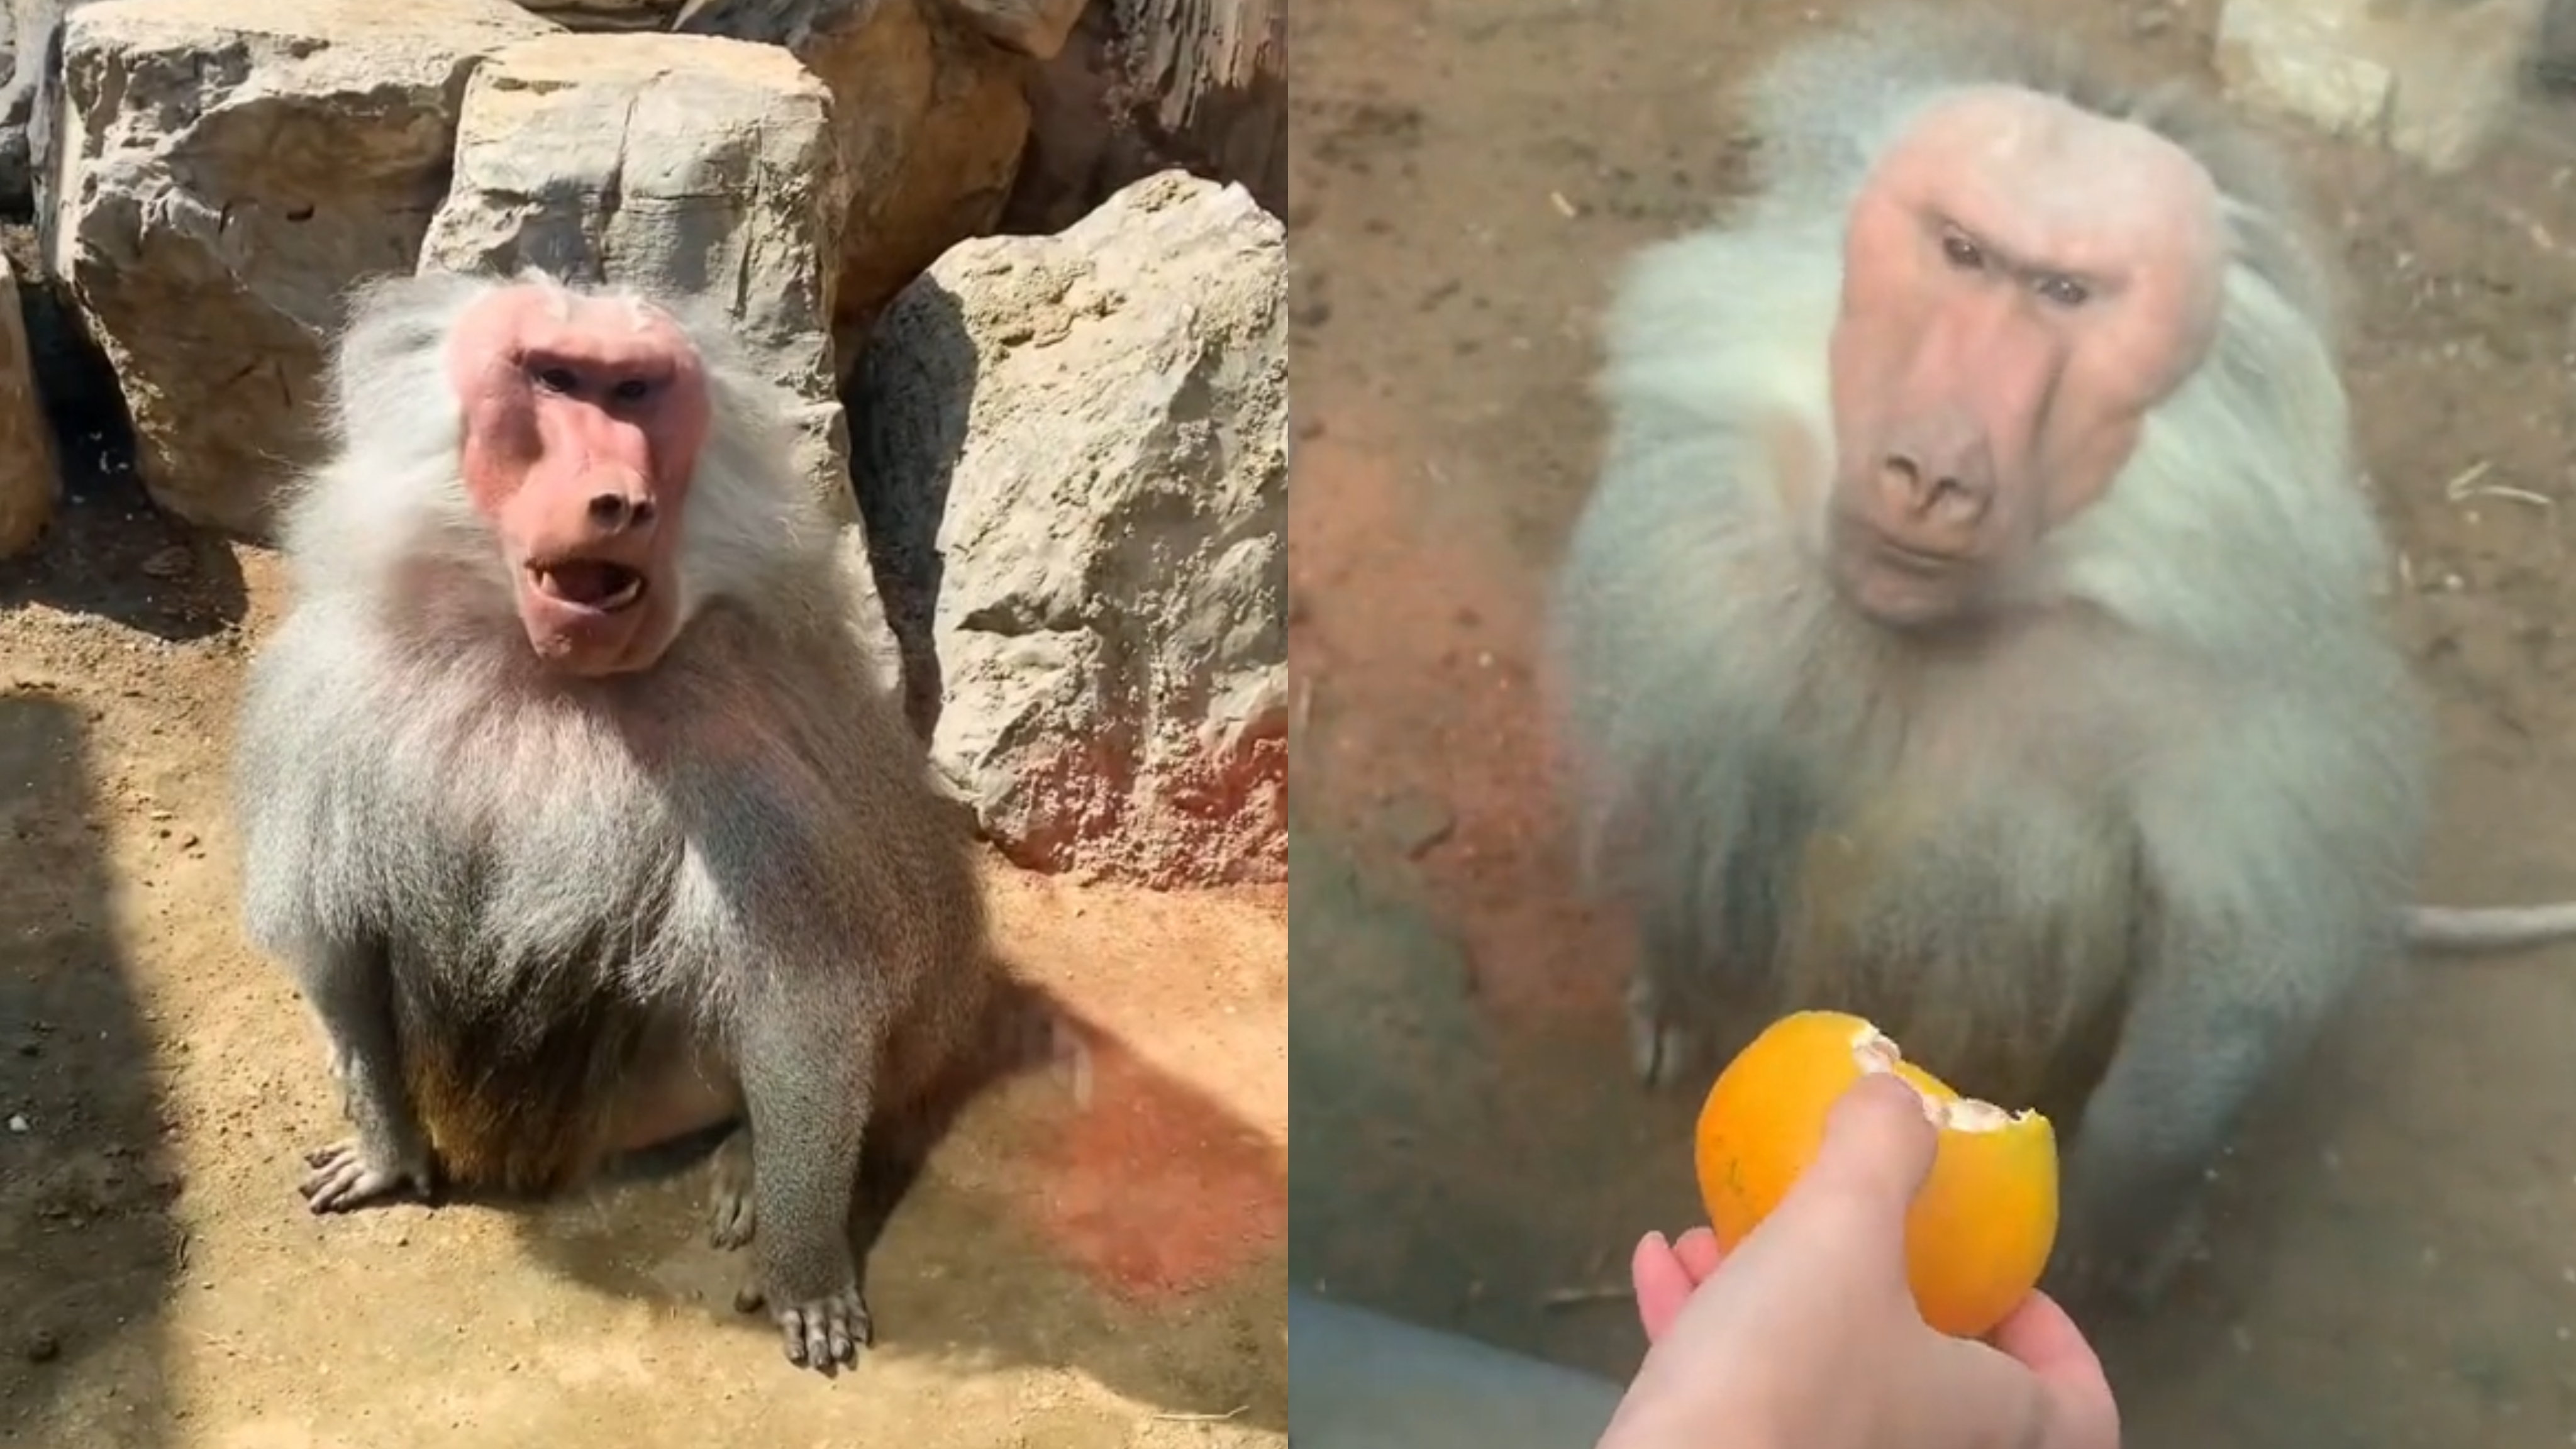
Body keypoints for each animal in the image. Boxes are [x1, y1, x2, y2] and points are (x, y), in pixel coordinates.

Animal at [229, 268, 1069, 1374]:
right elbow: (337, 937)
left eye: (634, 390)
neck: (545, 677)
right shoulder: (338, 686)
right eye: (553, 378)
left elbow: (813, 997)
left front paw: (806, 1273)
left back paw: (751, 1157)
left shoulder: (735, 744)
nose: (620, 501)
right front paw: (387, 1151)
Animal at [1541, 6, 2576, 1313]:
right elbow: (1690, 780)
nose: (1929, 472)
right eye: (1962, 252)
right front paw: (1673, 993)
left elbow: (2230, 942)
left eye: (2066, 292)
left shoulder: (2216, 665)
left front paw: (2118, 1213)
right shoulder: (1709, 537)